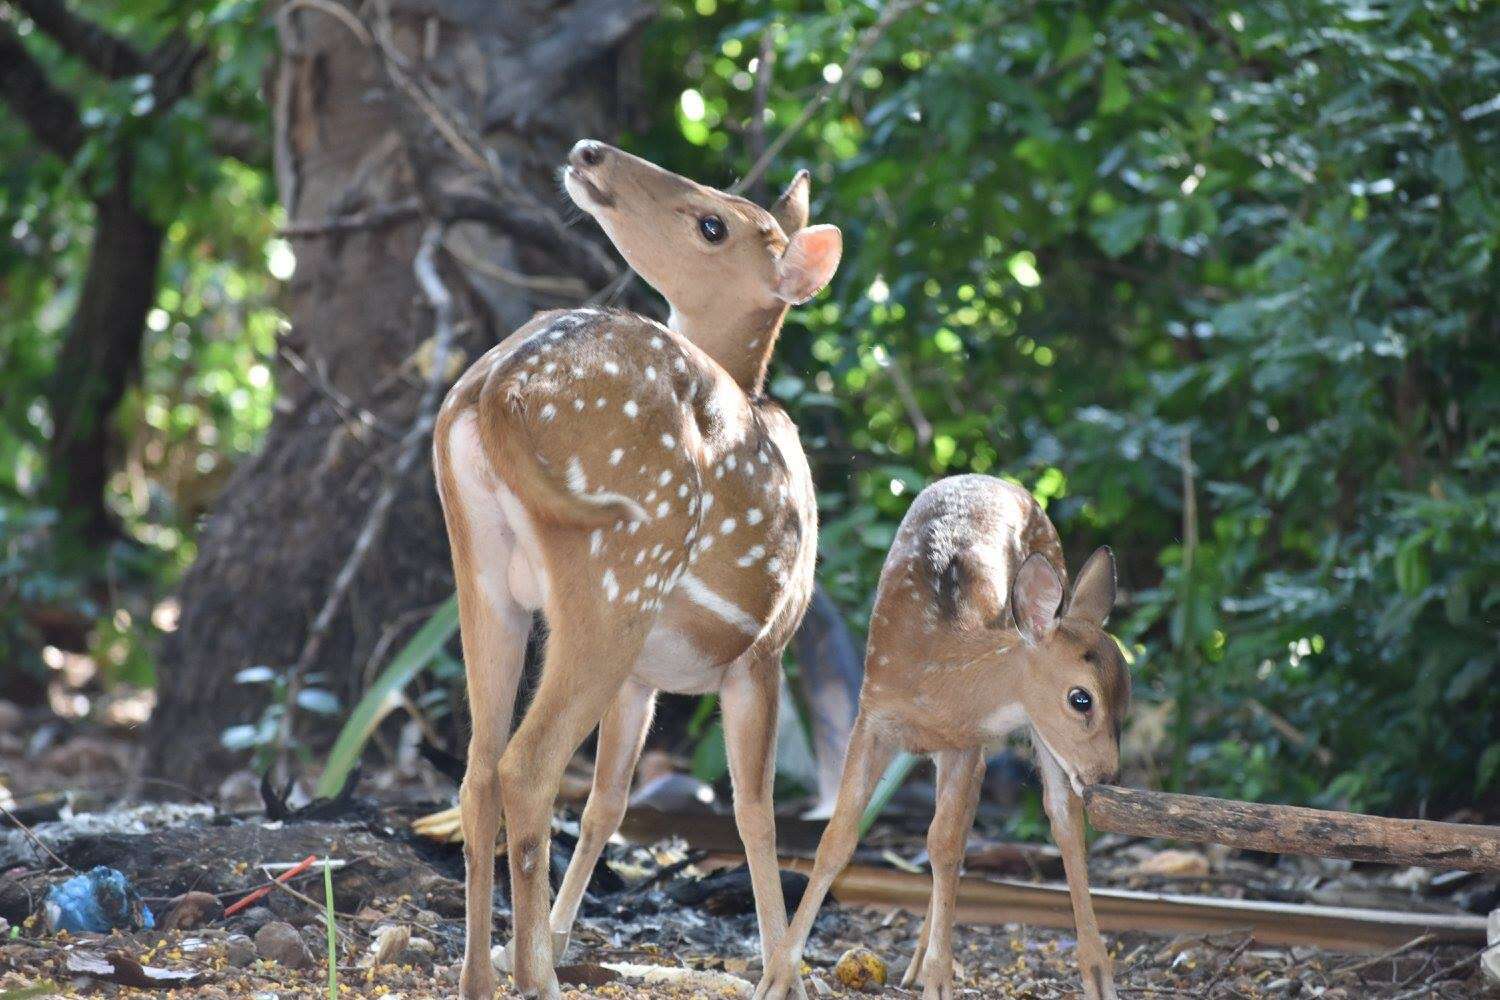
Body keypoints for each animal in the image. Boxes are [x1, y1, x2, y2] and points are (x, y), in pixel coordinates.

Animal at [435, 142, 840, 1000]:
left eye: (714, 222)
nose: (589, 151)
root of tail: (496, 387)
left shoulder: (644, 680)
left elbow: (610, 804)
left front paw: (560, 935)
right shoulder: (763, 649)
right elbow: (755, 811)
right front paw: (782, 973)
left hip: (483, 573)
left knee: (480, 769)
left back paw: (485, 975)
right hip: (617, 571)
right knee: (528, 766)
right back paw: (537, 980)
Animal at [756, 476, 1128, 1000]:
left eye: (1127, 692)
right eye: (1081, 698)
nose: (1109, 774)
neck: (939, 675)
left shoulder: (964, 744)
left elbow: (945, 845)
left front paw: (940, 979)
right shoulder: (871, 717)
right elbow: (838, 837)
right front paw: (777, 975)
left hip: (1031, 741)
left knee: (1061, 821)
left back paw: (1096, 972)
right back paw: (914, 964)